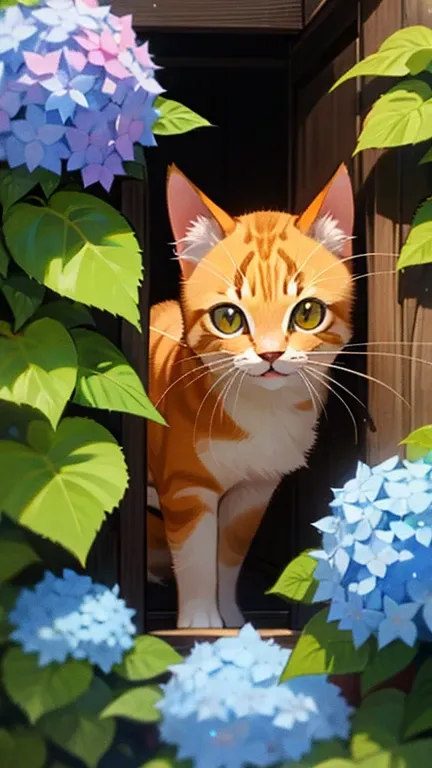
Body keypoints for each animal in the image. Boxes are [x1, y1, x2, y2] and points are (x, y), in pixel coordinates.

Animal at [147, 165, 352, 628]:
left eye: (308, 312)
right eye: (228, 317)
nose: (271, 354)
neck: (264, 413)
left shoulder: (254, 491)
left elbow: (228, 557)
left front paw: (230, 616)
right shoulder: (186, 486)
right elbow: (197, 557)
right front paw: (199, 621)